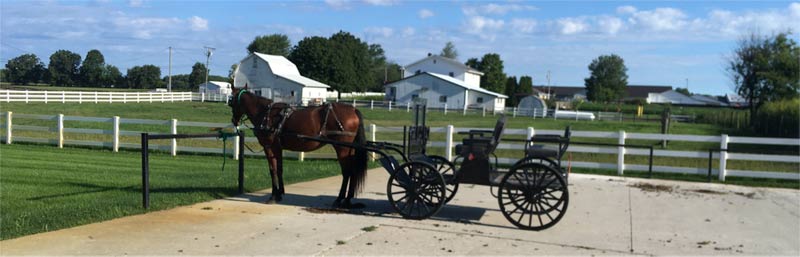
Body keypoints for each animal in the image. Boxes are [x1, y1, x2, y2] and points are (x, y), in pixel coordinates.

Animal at [228, 84, 368, 208]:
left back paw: (339, 199)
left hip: (342, 148)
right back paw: (348, 200)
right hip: (349, 149)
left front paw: (273, 196)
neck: (266, 114)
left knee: (347, 172)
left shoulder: (269, 147)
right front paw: (279, 194)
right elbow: (279, 169)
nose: (234, 121)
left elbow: (273, 170)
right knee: (353, 171)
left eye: (231, 101)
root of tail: (353, 110)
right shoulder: (278, 148)